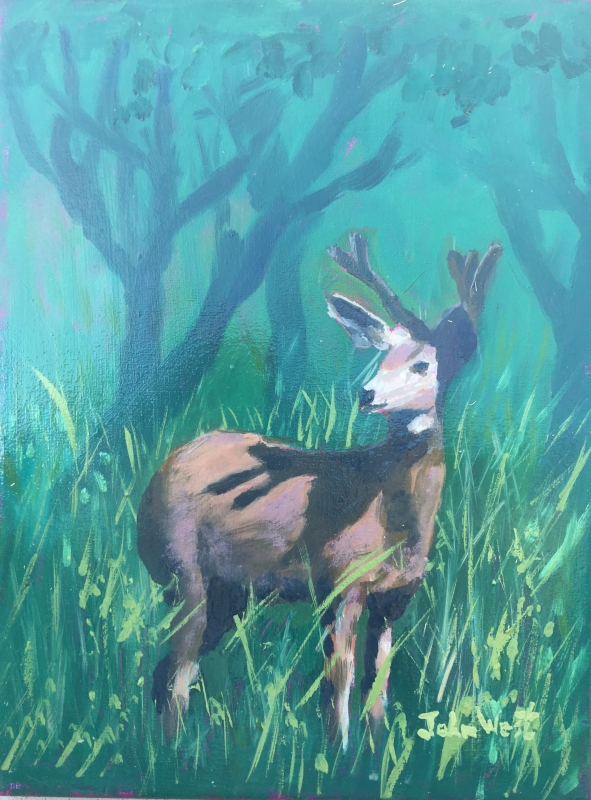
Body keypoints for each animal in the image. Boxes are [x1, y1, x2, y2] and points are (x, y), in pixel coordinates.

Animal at [137, 232, 501, 747]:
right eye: (381, 354)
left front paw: (373, 749)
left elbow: (379, 681)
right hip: (181, 569)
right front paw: (337, 749)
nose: (366, 394)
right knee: (176, 674)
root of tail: (157, 475)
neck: (389, 514)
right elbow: (339, 678)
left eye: (422, 364)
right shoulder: (339, 579)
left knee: (167, 672)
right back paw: (171, 751)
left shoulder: (396, 597)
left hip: (229, 592)